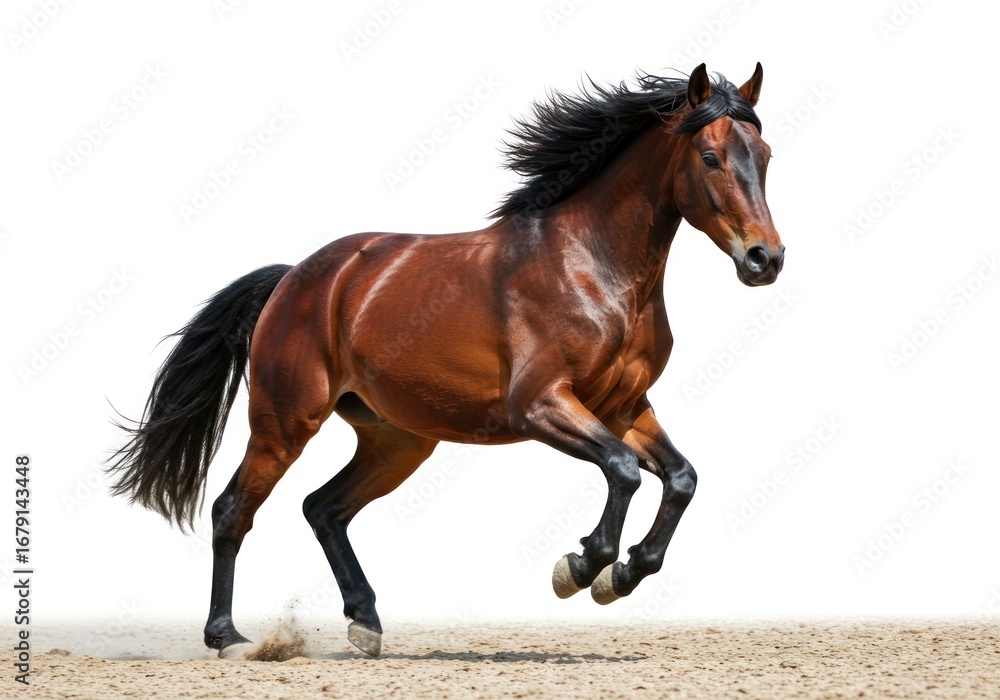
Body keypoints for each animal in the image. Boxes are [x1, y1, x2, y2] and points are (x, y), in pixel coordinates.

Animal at [107, 62, 784, 659]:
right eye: (710, 158)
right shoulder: (541, 405)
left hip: (398, 440)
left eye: (766, 155)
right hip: (284, 424)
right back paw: (228, 638)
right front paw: (580, 567)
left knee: (323, 508)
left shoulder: (623, 408)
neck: (594, 267)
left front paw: (620, 576)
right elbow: (622, 470)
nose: (765, 259)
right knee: (233, 511)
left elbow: (681, 478)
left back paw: (365, 624)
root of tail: (295, 278)